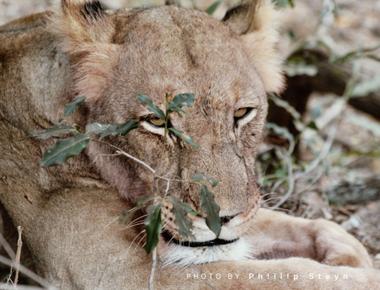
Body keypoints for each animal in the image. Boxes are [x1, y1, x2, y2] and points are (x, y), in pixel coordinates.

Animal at [0, 0, 378, 288]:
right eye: (156, 122)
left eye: (242, 113)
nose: (218, 220)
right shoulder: (115, 272)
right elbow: (284, 276)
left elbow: (300, 225)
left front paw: (347, 252)